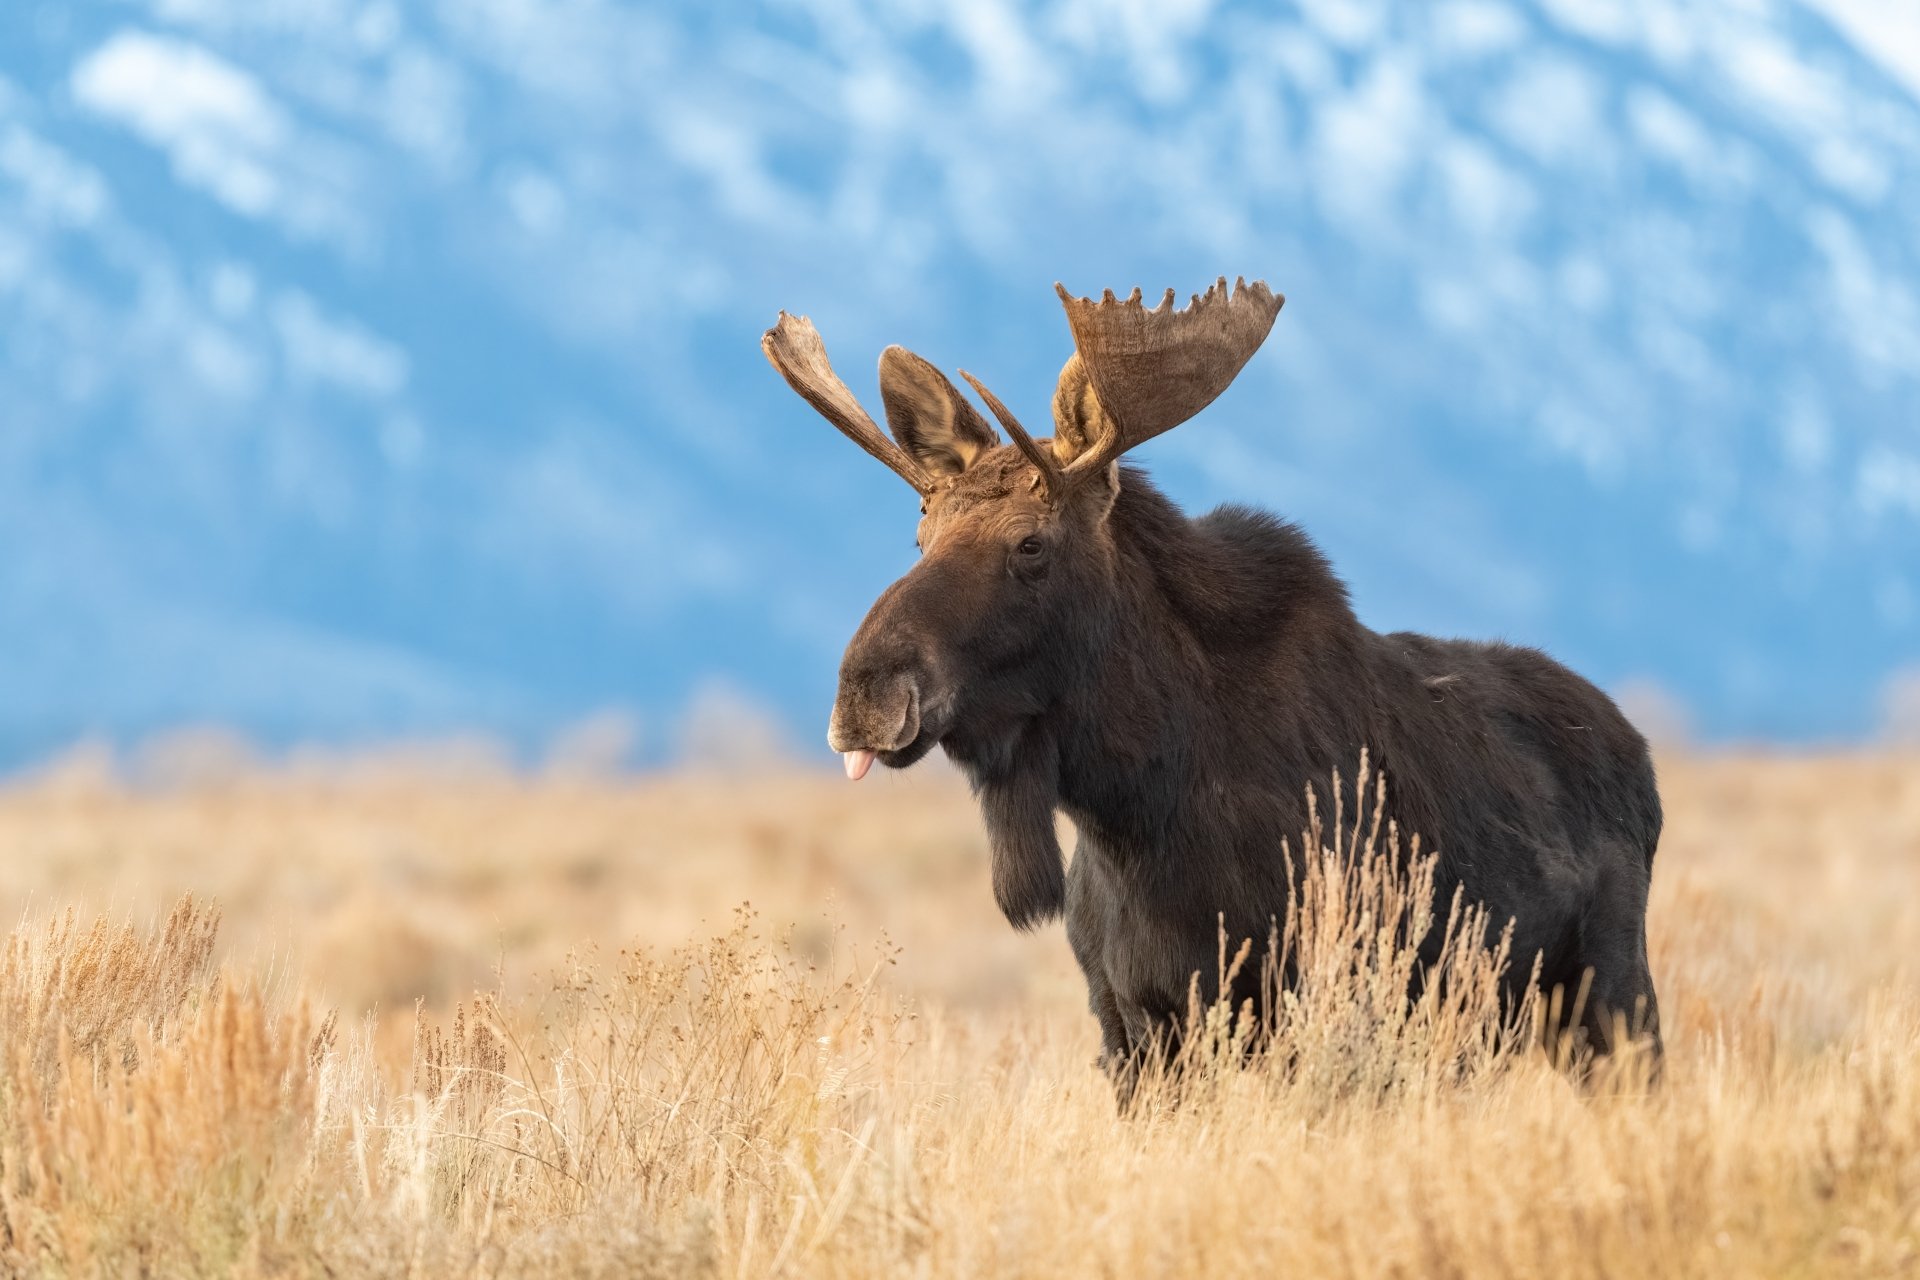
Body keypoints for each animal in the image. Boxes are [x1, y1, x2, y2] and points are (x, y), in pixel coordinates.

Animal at [762, 277, 1662, 1095]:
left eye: (1030, 543)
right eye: (921, 534)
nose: (865, 692)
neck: (1137, 812)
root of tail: (1638, 752)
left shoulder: (1320, 995)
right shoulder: (1128, 1023)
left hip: (1611, 996)